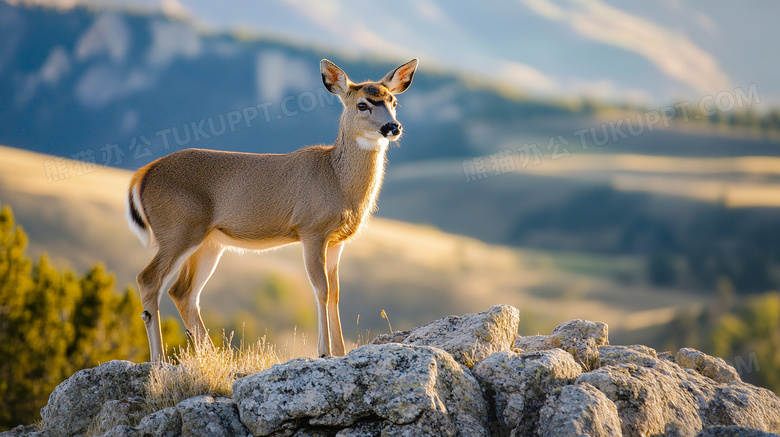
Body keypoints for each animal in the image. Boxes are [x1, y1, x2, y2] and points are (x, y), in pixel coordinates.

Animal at [125, 58, 418, 360]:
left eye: (393, 101)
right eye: (362, 104)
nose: (393, 126)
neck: (337, 181)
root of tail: (141, 176)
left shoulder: (338, 239)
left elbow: (336, 293)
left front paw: (340, 351)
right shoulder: (311, 228)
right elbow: (321, 288)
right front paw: (324, 352)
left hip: (209, 241)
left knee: (182, 292)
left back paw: (213, 357)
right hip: (178, 228)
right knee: (148, 279)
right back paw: (160, 361)